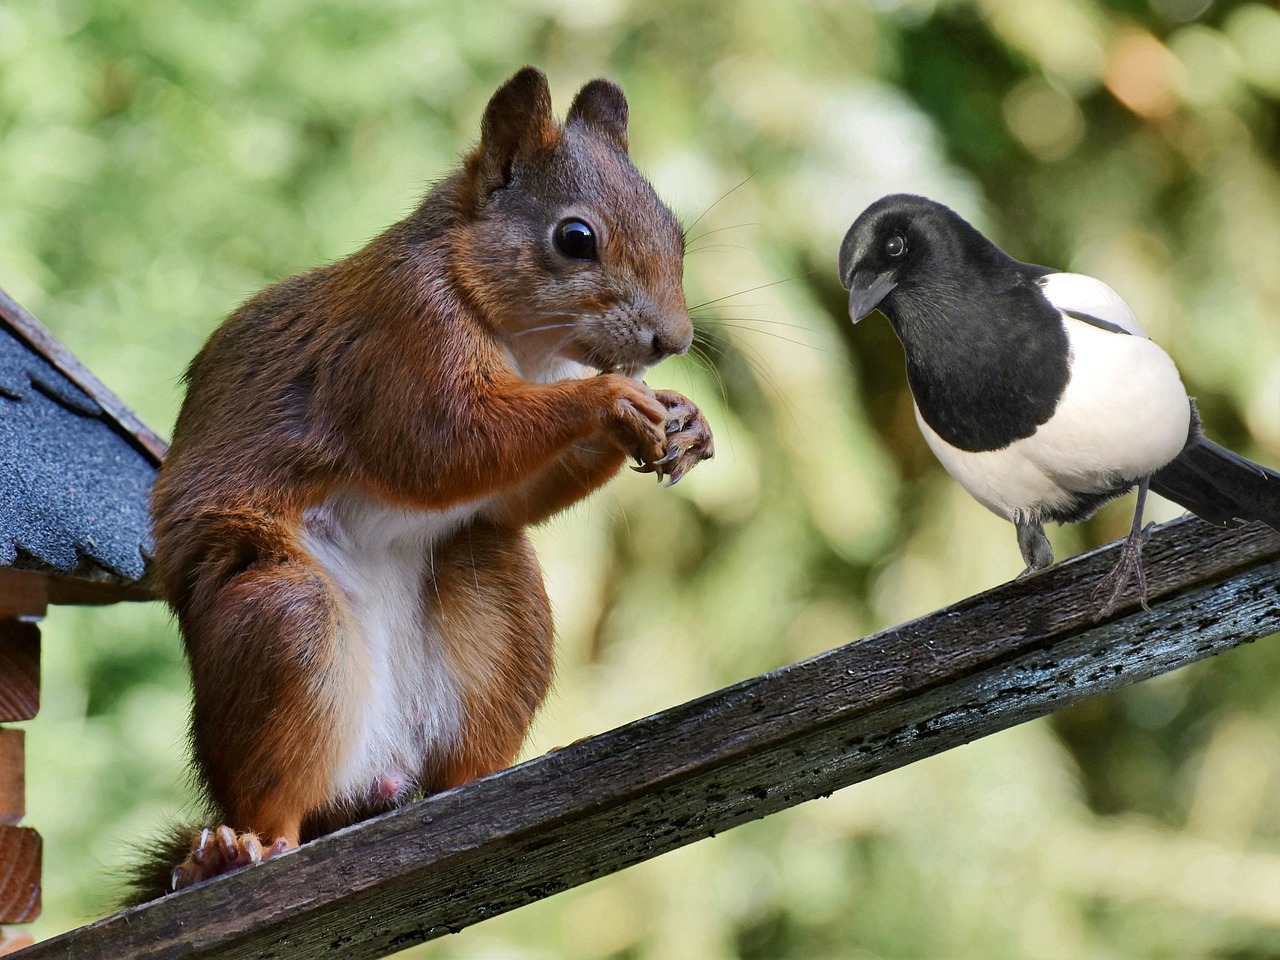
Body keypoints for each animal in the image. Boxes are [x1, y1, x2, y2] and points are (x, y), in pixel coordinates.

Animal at [133, 66, 714, 901]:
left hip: (495, 598)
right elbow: (443, 444)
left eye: (677, 233)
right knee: (277, 791)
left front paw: (685, 420)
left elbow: (507, 493)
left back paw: (481, 782)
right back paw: (238, 849)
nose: (674, 341)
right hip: (285, 621)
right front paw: (611, 400)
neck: (521, 339)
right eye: (575, 239)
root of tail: (376, 780)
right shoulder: (402, 333)